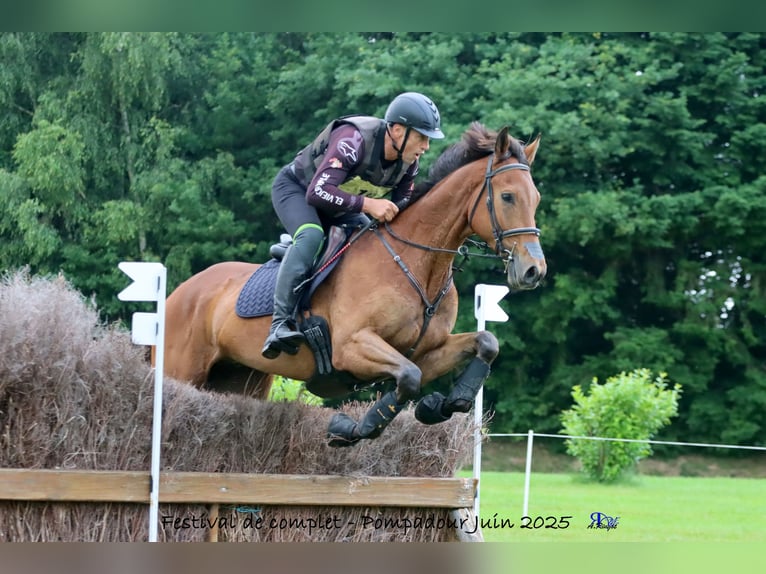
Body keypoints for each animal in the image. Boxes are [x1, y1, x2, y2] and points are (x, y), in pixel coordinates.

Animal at [161, 122, 546, 446]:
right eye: (507, 197)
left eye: (537, 199)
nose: (534, 271)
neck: (417, 263)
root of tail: (179, 293)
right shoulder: (353, 346)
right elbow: (408, 378)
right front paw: (350, 429)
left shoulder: (427, 351)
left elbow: (484, 343)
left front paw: (443, 404)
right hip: (182, 369)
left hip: (242, 377)